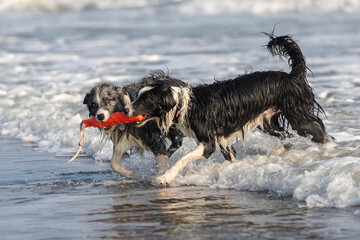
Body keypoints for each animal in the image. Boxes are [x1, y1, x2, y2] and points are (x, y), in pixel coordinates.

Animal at [124, 33, 330, 184]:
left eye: (145, 100)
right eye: (138, 96)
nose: (125, 110)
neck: (184, 105)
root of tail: (292, 76)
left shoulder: (208, 143)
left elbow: (184, 158)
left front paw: (165, 176)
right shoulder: (222, 139)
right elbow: (231, 158)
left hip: (299, 117)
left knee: (320, 134)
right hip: (267, 122)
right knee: (287, 138)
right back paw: (276, 154)